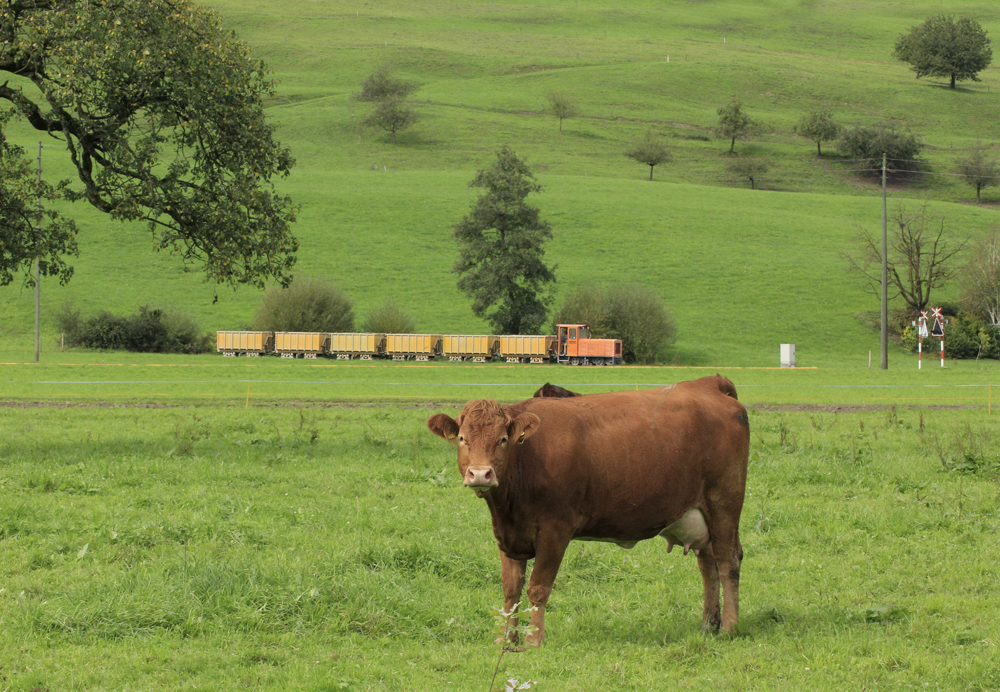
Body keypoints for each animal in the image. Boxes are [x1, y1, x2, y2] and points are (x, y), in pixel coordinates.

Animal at [426, 376, 748, 648]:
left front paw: (533, 640)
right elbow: (510, 590)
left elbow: (538, 587)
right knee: (707, 564)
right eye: (463, 439)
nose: (481, 474)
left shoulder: (555, 529)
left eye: (502, 440)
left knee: (727, 560)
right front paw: (506, 639)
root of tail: (708, 383)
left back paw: (730, 627)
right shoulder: (509, 535)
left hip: (724, 503)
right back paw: (708, 625)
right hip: (699, 515)